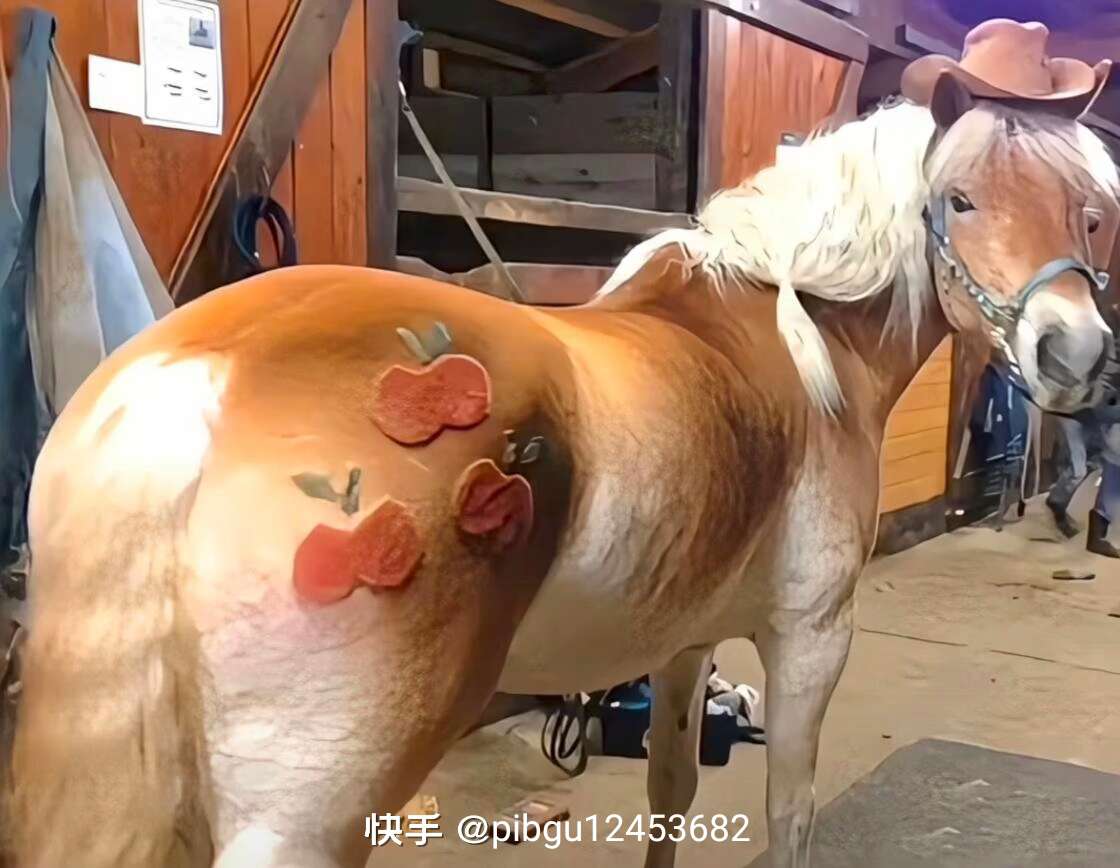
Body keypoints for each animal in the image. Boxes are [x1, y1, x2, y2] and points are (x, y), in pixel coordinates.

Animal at [7, 74, 1119, 868]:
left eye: (1091, 212)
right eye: (959, 200)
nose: (1073, 356)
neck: (800, 339)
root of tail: (199, 378)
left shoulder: (684, 644)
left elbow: (671, 792)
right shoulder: (809, 640)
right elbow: (788, 814)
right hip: (303, 817)